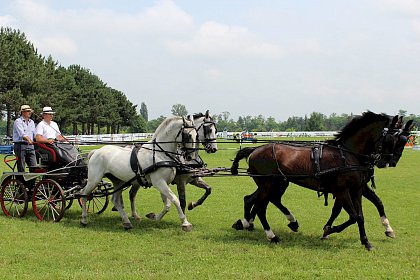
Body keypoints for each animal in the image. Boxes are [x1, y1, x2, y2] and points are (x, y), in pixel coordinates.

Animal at [231, 110, 402, 250]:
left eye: (401, 139)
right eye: (390, 139)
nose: (386, 162)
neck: (347, 155)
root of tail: (255, 149)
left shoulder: (357, 189)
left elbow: (360, 216)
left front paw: (366, 242)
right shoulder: (341, 190)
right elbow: (353, 216)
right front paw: (328, 230)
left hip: (276, 183)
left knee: (254, 199)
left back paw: (253, 223)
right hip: (268, 184)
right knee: (261, 207)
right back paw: (271, 235)